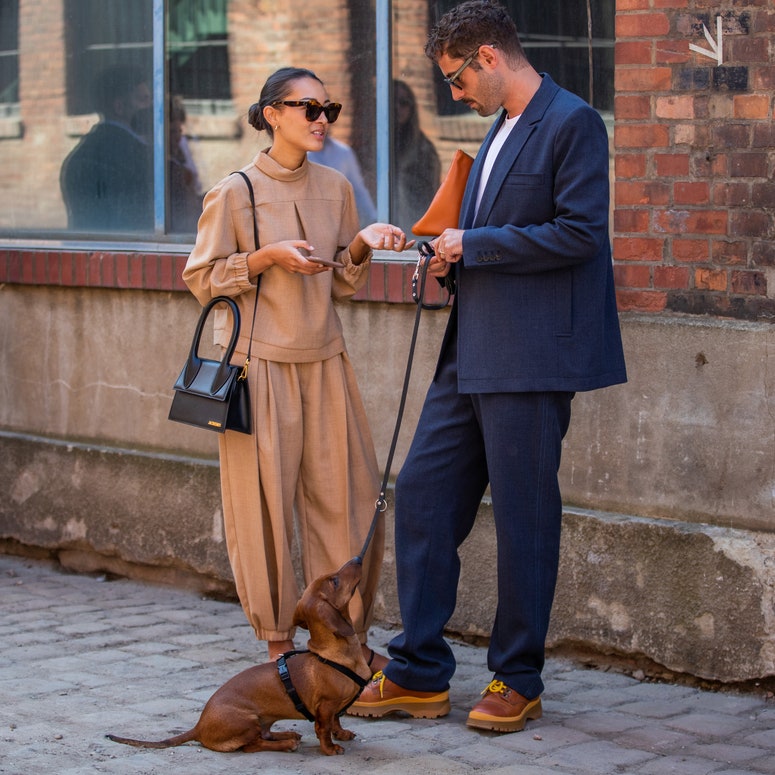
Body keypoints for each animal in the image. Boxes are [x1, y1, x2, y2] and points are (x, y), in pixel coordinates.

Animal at [108, 556, 372, 756]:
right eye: (335, 580)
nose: (358, 558)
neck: (334, 654)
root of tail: (199, 727)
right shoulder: (325, 707)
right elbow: (323, 730)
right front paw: (330, 749)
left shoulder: (334, 708)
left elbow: (337, 722)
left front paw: (342, 734)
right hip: (247, 721)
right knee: (252, 745)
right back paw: (287, 743)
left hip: (261, 720)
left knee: (265, 735)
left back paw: (287, 734)